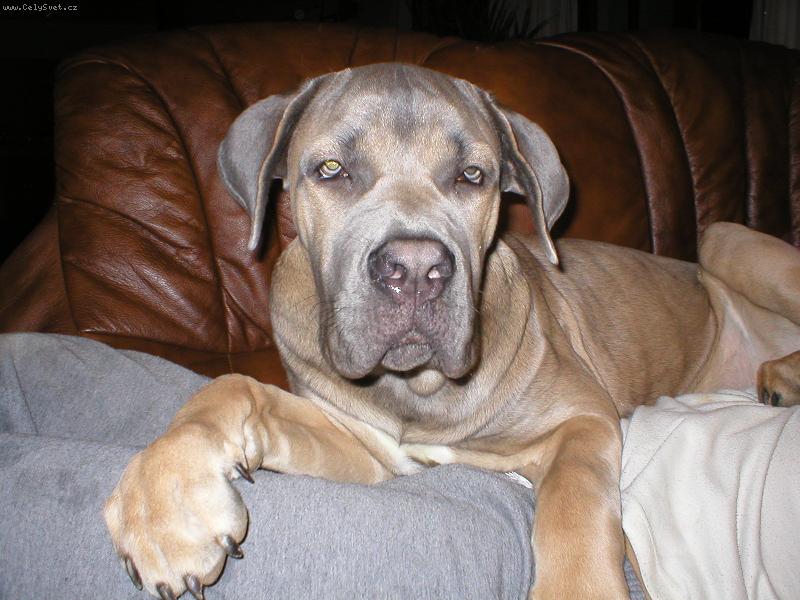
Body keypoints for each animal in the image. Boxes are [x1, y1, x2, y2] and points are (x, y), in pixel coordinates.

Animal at [104, 63, 800, 600]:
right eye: (330, 169)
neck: (419, 390)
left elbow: (573, 502)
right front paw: (166, 509)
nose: (414, 270)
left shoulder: (583, 419)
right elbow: (229, 388)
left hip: (723, 238)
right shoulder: (367, 448)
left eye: (472, 176)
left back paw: (781, 375)